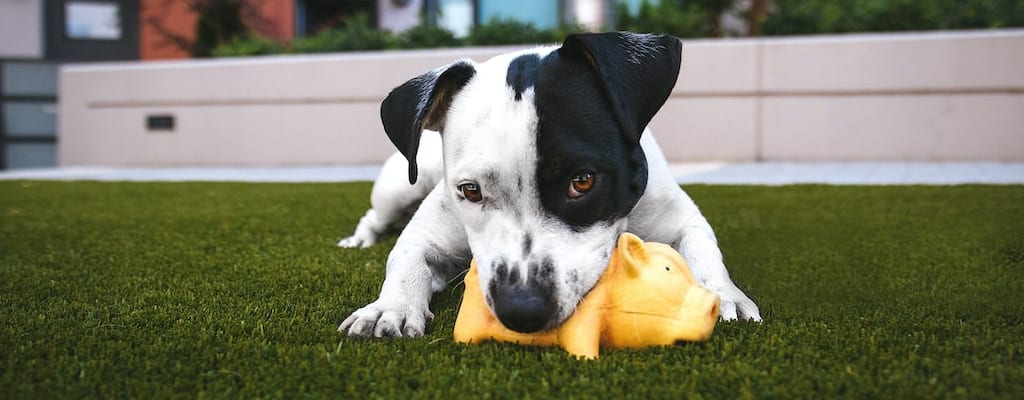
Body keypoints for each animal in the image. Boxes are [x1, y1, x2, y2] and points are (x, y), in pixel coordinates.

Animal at [339, 32, 757, 337]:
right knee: (374, 216)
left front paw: (723, 294)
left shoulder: (681, 218)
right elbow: (405, 258)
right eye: (470, 190)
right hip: (399, 187)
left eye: (582, 182)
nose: (521, 309)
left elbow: (703, 250)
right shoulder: (428, 233)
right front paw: (389, 307)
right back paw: (359, 240)